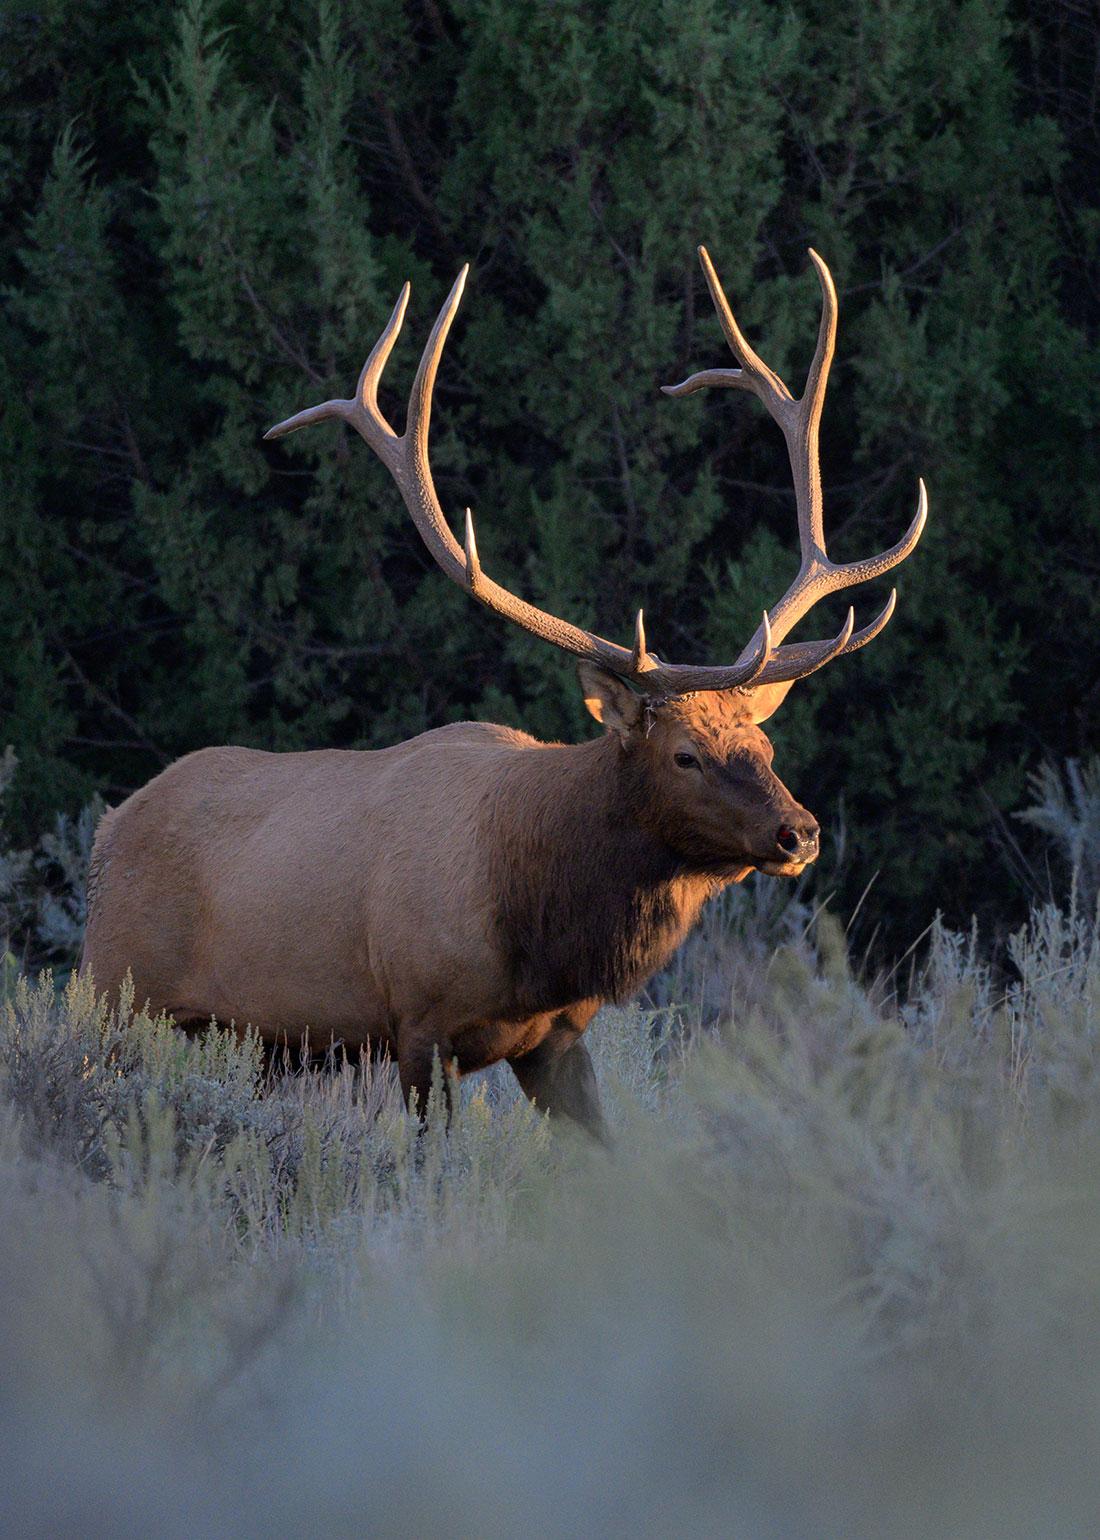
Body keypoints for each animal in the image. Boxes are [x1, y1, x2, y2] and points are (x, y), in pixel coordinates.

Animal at [80, 247, 926, 1140]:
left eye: (763, 744)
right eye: (686, 755)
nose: (800, 832)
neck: (539, 927)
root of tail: (106, 831)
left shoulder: (556, 1038)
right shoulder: (418, 1021)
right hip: (117, 996)